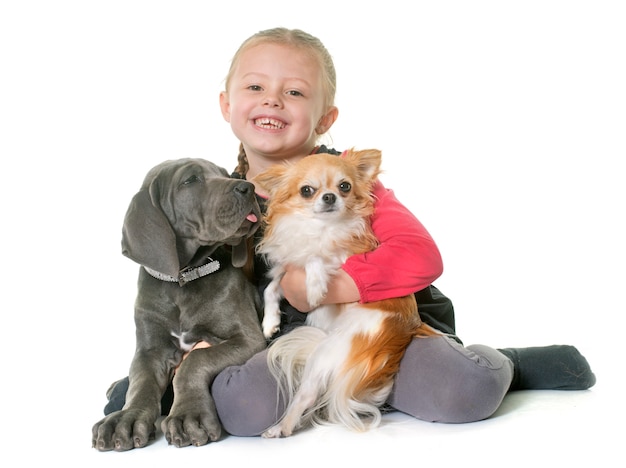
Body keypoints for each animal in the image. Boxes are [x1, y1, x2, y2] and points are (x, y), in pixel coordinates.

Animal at [92, 159, 266, 452]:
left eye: (223, 174)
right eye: (191, 180)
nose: (248, 188)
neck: (182, 280)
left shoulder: (248, 338)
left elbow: (195, 359)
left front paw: (188, 416)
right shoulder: (150, 350)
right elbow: (141, 381)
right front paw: (127, 418)